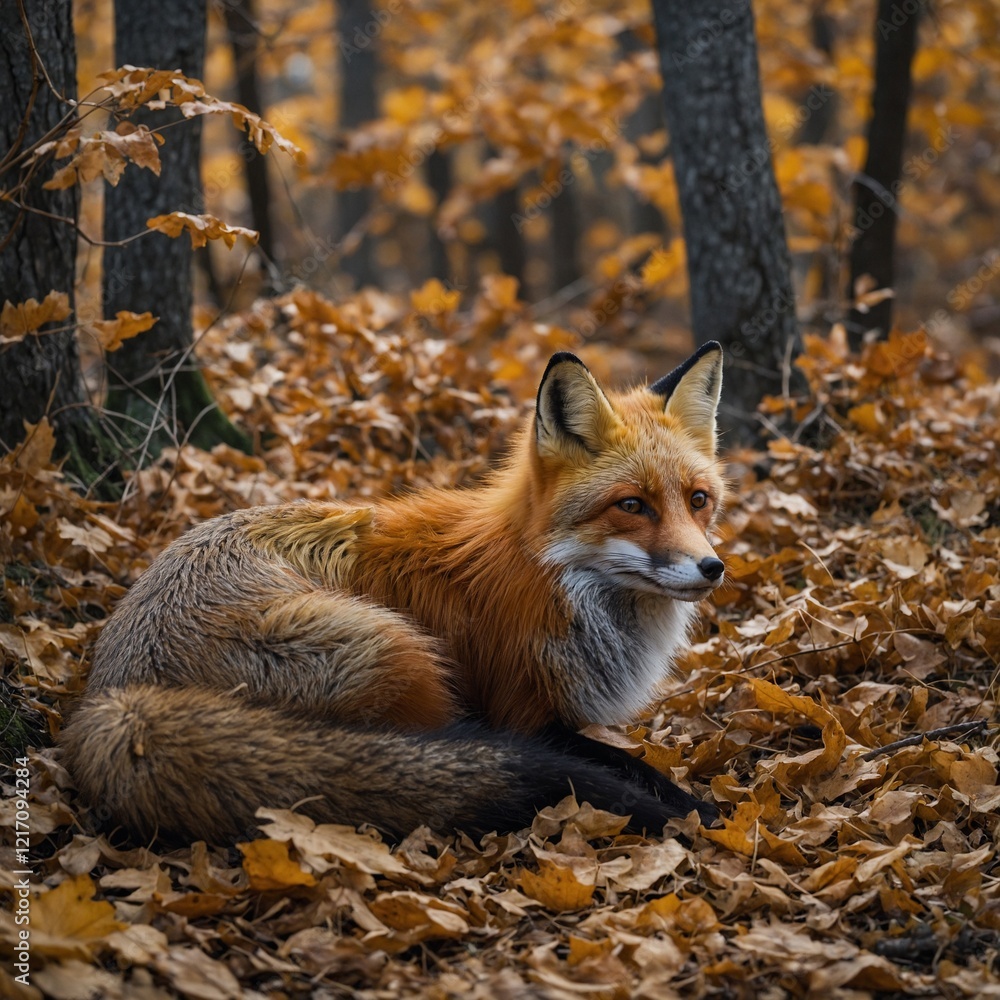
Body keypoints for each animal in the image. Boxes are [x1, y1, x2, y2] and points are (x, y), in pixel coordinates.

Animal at [61, 342, 728, 844]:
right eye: (632, 506)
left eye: (698, 500)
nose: (712, 567)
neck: (550, 579)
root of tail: (119, 702)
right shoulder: (523, 713)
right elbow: (627, 762)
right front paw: (695, 808)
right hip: (399, 651)